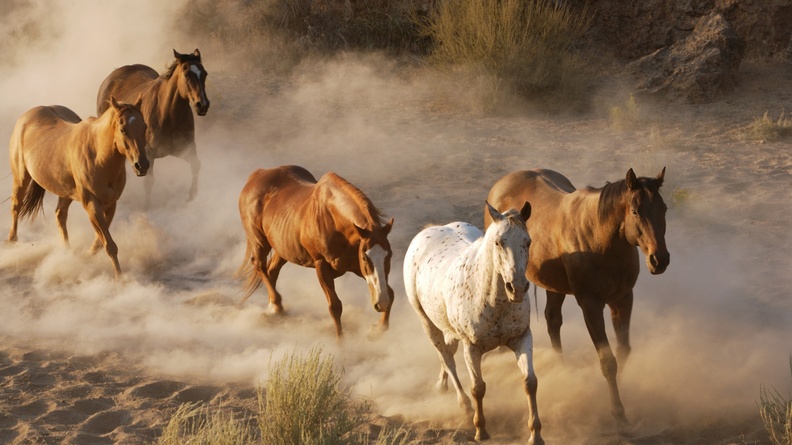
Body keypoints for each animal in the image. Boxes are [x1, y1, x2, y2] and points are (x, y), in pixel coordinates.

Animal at [7, 97, 149, 279]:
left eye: (144, 127)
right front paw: (120, 278)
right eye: (123, 129)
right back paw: (12, 242)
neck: (98, 156)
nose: (142, 165)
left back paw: (67, 253)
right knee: (16, 206)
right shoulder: (91, 205)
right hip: (21, 178)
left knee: (60, 215)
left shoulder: (111, 204)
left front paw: (87, 257)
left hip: (65, 191)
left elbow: (100, 242)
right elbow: (109, 244)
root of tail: (27, 116)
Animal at [96, 49, 209, 206]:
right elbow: (148, 182)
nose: (202, 105)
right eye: (187, 74)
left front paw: (192, 196)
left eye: (204, 74)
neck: (167, 114)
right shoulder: (147, 155)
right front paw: (147, 205)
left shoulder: (186, 149)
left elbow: (196, 165)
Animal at [237, 165, 395, 338]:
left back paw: (274, 309)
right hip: (259, 242)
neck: (333, 220)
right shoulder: (322, 266)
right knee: (260, 266)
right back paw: (276, 306)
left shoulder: (355, 266)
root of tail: (257, 175)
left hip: (282, 249)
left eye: (389, 255)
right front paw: (341, 342)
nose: (381, 303)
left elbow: (391, 292)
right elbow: (335, 307)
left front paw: (378, 329)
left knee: (271, 271)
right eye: (365, 258)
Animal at [404, 202, 543, 444]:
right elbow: (478, 388)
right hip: (427, 322)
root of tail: (429, 230)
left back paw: (441, 384)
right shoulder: (472, 347)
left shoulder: (522, 337)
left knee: (448, 351)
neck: (492, 300)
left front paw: (535, 434)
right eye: (498, 242)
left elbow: (529, 382)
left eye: (528, 241)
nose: (517, 288)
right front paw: (481, 430)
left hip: (448, 328)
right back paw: (464, 406)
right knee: (447, 358)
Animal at [485, 168, 670, 426]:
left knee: (553, 321)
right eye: (635, 211)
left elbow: (623, 351)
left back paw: (562, 367)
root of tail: (502, 183)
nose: (659, 260)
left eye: (663, 209)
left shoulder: (623, 299)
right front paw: (617, 410)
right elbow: (607, 360)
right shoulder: (590, 305)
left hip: (554, 287)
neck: (601, 240)